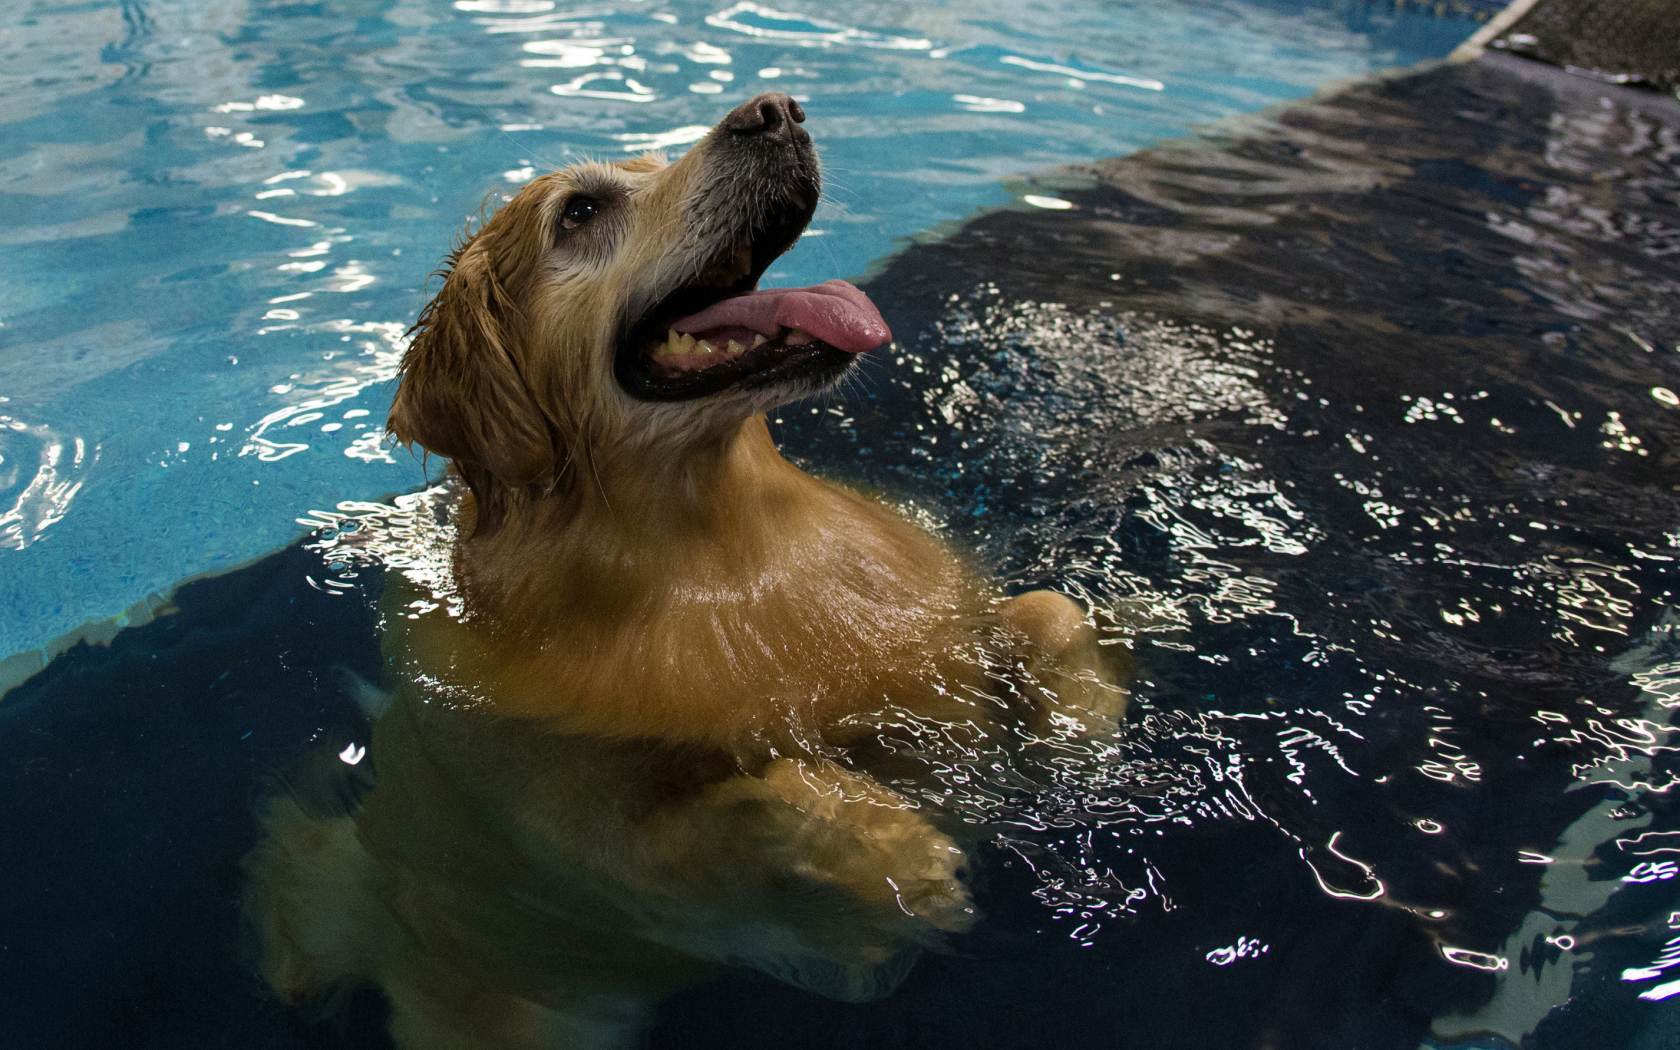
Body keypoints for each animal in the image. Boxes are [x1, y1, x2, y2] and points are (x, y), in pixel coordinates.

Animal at [243, 94, 1122, 1041]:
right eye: (581, 212)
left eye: (653, 164)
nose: (776, 110)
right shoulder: (614, 856)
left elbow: (1048, 611)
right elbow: (773, 791)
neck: (725, 545)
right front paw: (902, 854)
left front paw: (1083, 726)